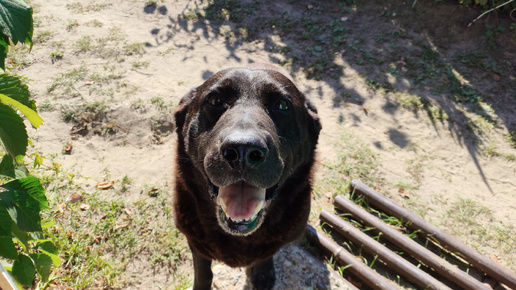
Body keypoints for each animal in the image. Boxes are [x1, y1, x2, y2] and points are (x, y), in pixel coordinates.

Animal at [175, 64, 320, 288]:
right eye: (214, 100)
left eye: (282, 105)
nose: (242, 151)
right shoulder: (196, 243)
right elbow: (203, 272)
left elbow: (265, 256)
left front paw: (263, 274)